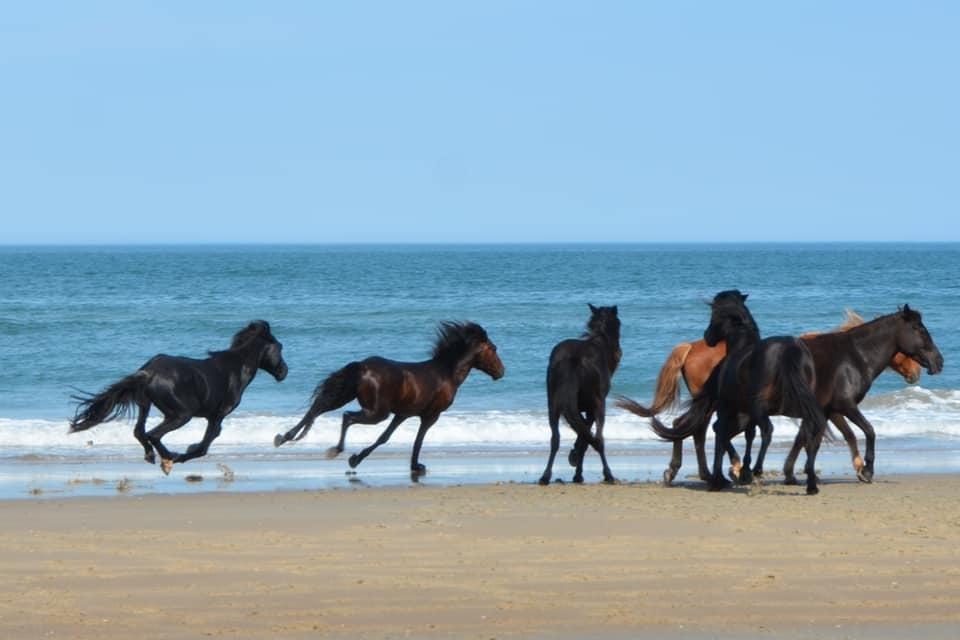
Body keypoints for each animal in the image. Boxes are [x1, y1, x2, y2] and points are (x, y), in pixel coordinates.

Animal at [71, 322, 288, 472]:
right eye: (280, 347)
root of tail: (148, 372)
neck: (236, 367)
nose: (284, 372)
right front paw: (183, 454)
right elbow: (203, 447)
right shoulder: (217, 416)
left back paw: (151, 456)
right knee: (153, 434)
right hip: (181, 414)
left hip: (147, 405)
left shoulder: (213, 417)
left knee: (140, 432)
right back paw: (168, 458)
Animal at [274, 320, 506, 480]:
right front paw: (415, 466)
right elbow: (417, 440)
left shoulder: (402, 414)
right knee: (346, 417)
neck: (446, 374)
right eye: (494, 349)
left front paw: (358, 458)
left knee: (317, 408)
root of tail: (362, 367)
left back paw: (283, 437)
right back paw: (335, 450)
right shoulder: (430, 416)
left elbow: (384, 437)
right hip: (376, 412)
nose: (501, 372)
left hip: (347, 396)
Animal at [540, 304, 624, 484]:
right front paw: (577, 467)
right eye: (618, 324)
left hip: (553, 406)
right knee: (599, 438)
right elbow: (587, 436)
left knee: (555, 439)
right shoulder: (592, 408)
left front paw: (574, 455)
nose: (619, 353)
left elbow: (582, 431)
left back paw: (545, 476)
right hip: (598, 405)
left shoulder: (577, 408)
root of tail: (573, 359)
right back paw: (608, 474)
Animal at [616, 310, 924, 484]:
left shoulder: (826, 409)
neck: (843, 356)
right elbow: (831, 435)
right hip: (715, 403)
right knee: (697, 429)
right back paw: (715, 470)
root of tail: (690, 347)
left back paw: (697, 471)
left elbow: (834, 435)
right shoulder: (830, 408)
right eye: (904, 351)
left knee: (691, 428)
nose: (916, 373)